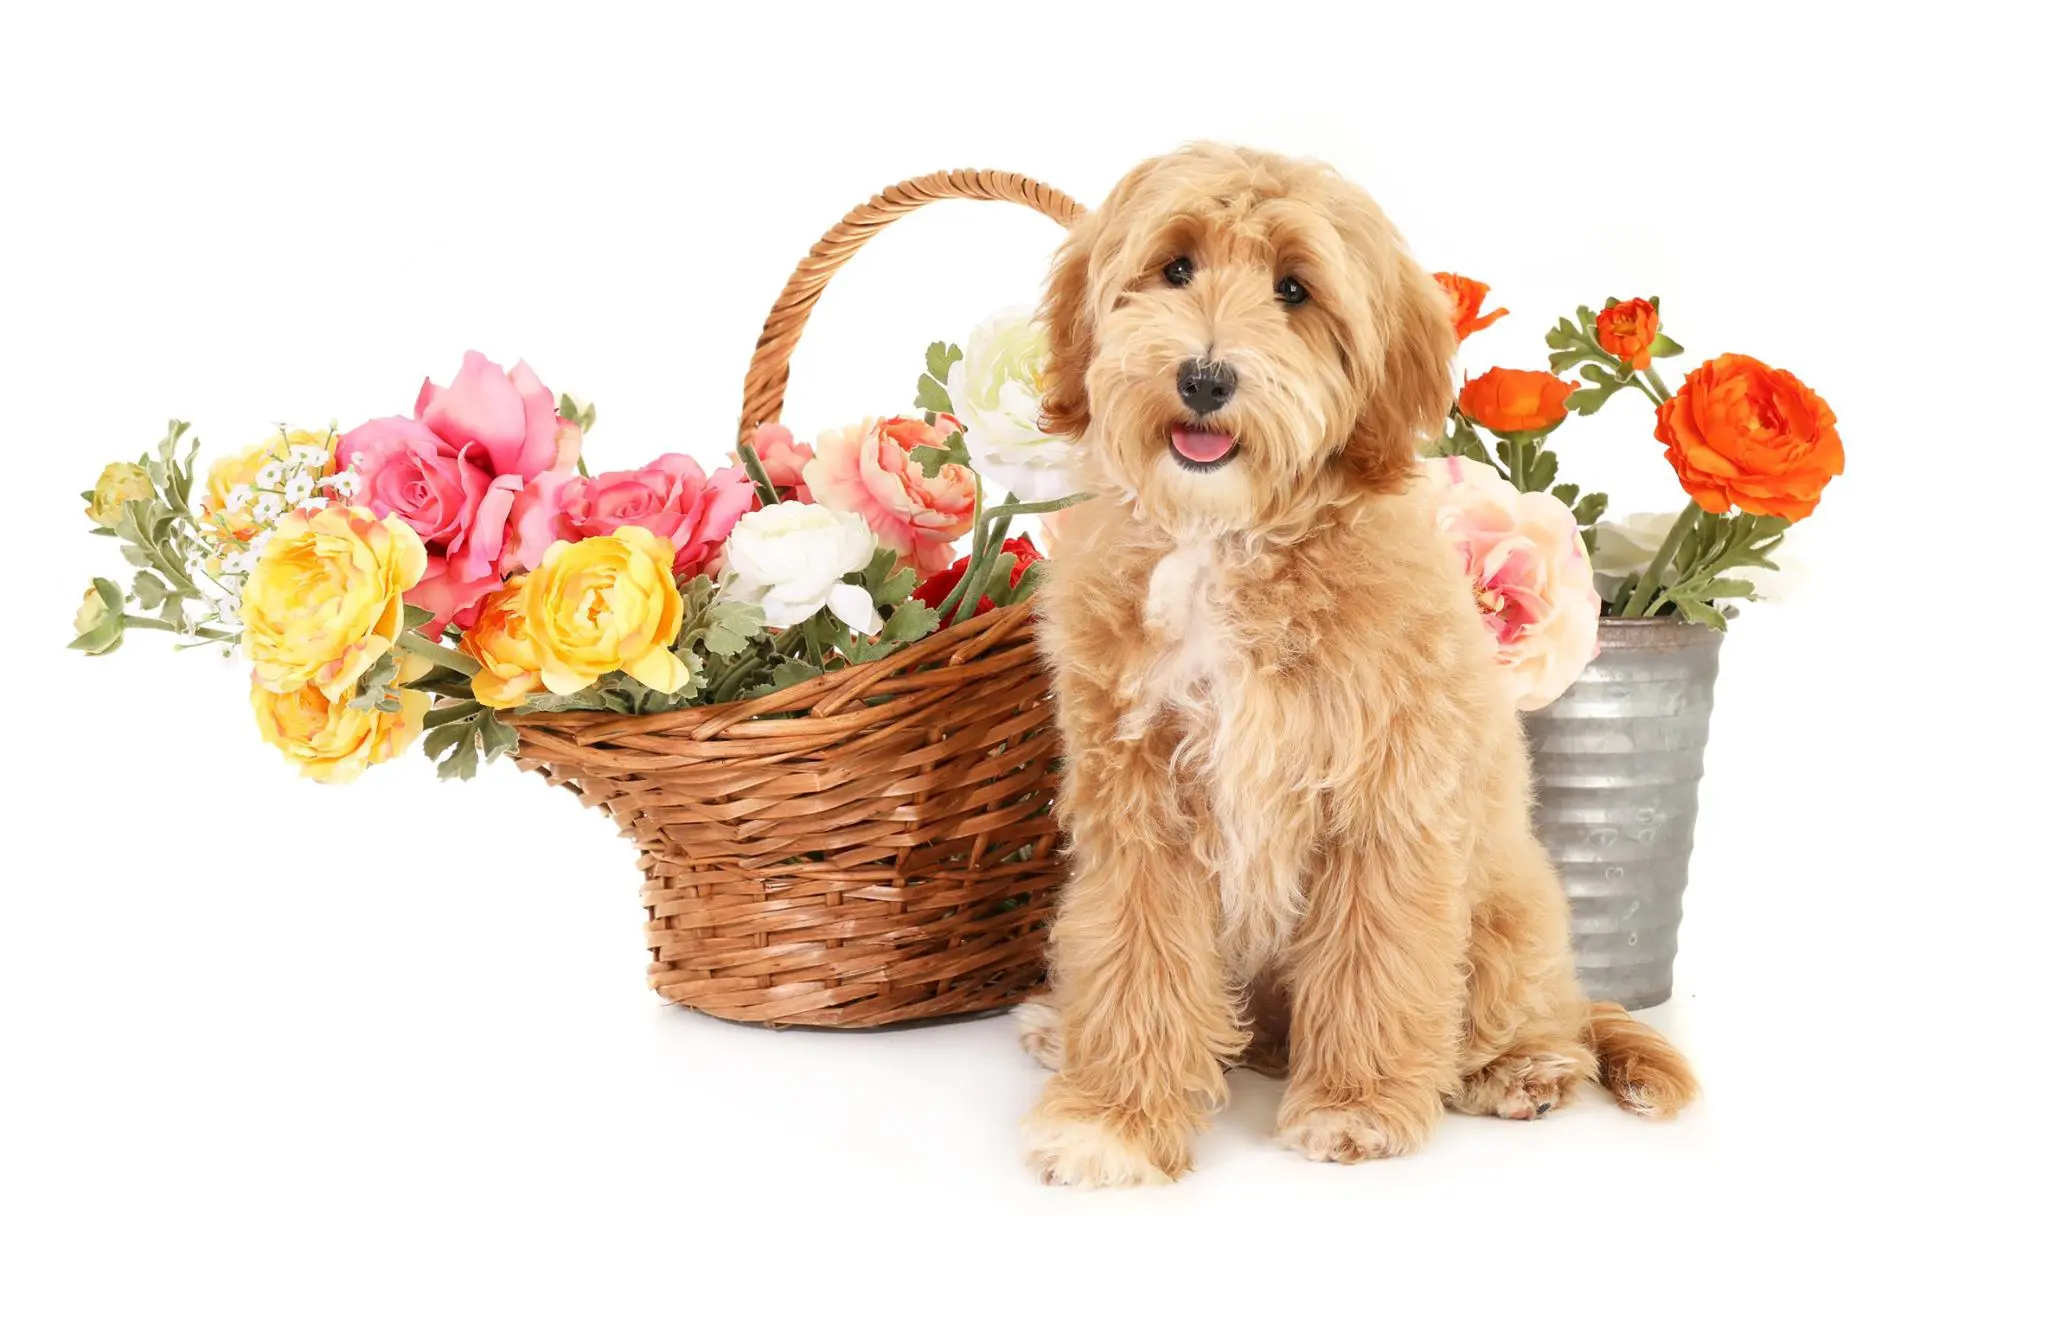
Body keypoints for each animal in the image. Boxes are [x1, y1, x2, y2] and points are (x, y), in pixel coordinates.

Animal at [1011, 144, 1695, 1187]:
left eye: (1294, 289)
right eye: (1176, 267)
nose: (1204, 377)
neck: (1230, 537)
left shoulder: (1386, 803)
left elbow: (1377, 958)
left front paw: (1357, 1107)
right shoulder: (1140, 808)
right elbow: (1136, 961)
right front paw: (1114, 1118)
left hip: (1509, 916)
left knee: (1540, 1015)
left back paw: (1522, 1067)